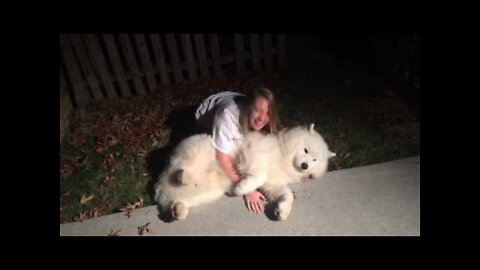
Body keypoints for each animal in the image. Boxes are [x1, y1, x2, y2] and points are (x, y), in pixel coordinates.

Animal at [156, 123, 336, 220]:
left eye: (315, 160)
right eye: (306, 150)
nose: (305, 165)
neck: (282, 156)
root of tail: (162, 190)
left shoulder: (273, 184)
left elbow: (287, 194)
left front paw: (282, 211)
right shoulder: (254, 153)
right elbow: (258, 174)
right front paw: (240, 188)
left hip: (206, 194)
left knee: (178, 201)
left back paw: (178, 210)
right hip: (201, 149)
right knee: (180, 166)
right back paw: (183, 176)